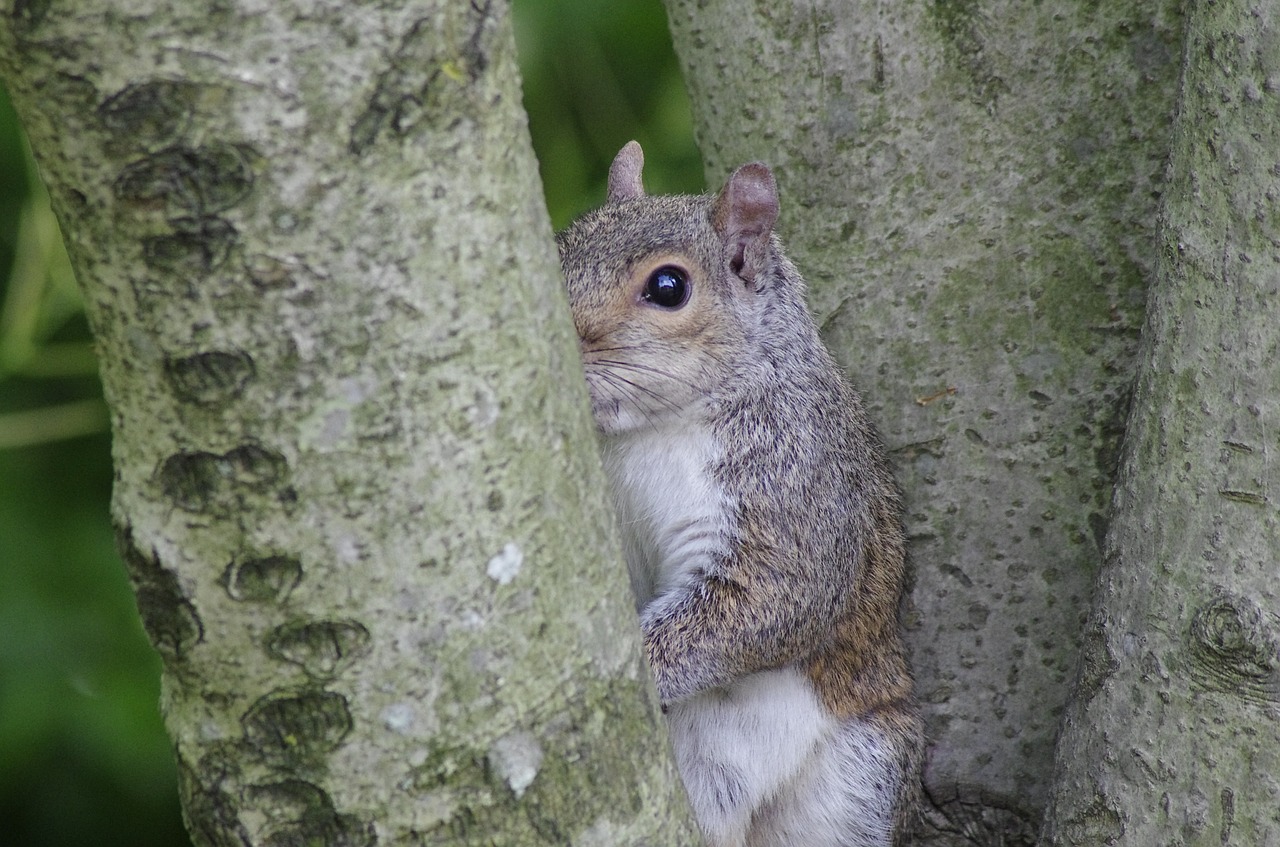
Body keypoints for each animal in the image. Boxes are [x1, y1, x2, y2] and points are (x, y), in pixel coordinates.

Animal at [555, 142, 926, 844]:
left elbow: (767, 603)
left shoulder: (794, 485)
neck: (645, 432)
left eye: (668, 287)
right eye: (560, 244)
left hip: (855, 784)